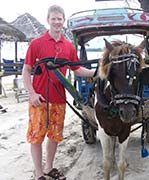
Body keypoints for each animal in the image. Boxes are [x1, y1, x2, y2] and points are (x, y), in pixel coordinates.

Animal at [94, 39, 146, 180]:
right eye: (112, 73)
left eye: (139, 73)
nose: (127, 113)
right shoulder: (103, 132)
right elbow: (106, 163)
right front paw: (109, 164)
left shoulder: (125, 131)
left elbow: (121, 164)